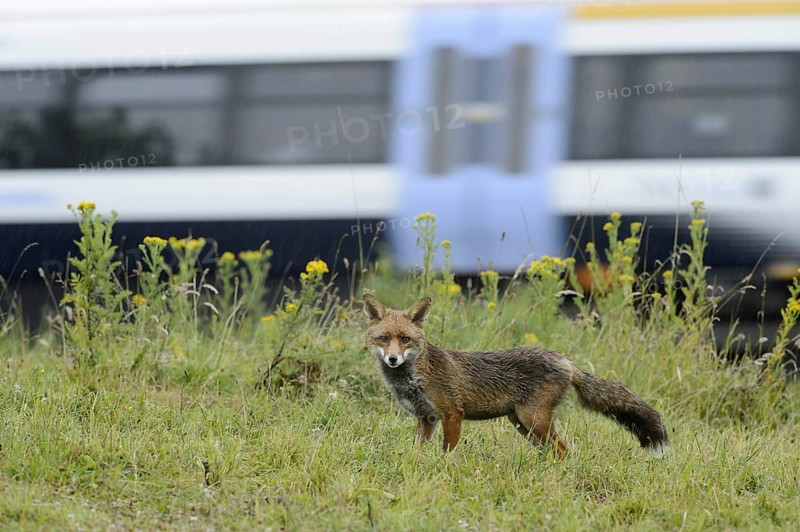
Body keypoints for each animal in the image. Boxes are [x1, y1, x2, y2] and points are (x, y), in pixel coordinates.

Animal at [363, 294, 668, 459]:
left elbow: (447, 453)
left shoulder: (452, 414)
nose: (392, 359)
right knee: (552, 452)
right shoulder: (425, 418)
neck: (415, 379)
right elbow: (418, 451)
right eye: (383, 339)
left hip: (532, 420)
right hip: (523, 424)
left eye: (405, 340)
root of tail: (565, 360)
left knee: (563, 451)